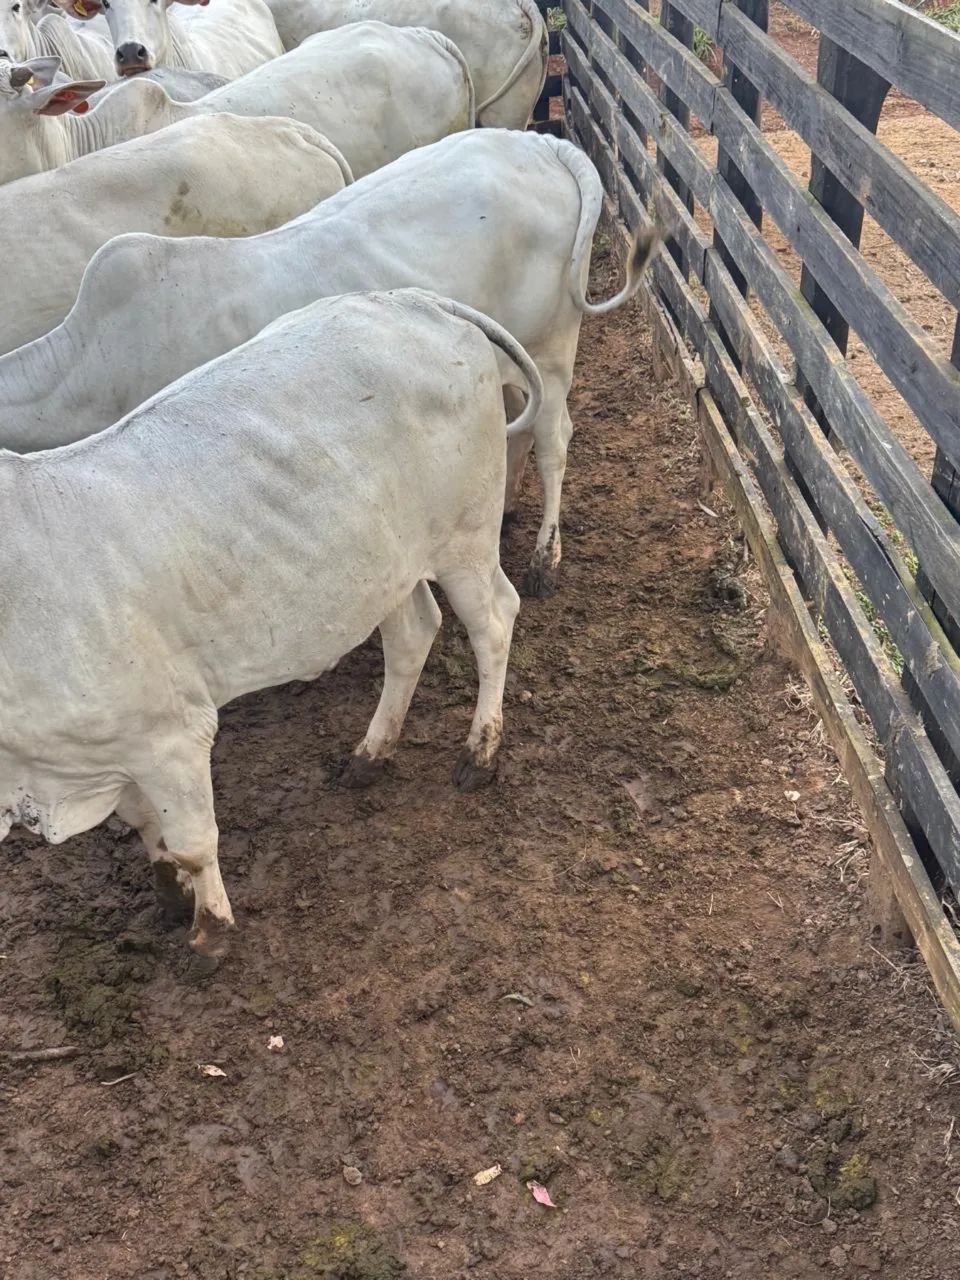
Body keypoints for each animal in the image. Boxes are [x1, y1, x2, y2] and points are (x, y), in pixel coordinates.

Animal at [0, 288, 540, 960]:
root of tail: (410, 299)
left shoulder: (172, 735)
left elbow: (194, 841)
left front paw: (211, 930)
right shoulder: (114, 751)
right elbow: (150, 828)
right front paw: (169, 898)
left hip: (465, 535)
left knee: (493, 620)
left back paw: (480, 752)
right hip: (381, 565)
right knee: (414, 632)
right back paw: (370, 756)